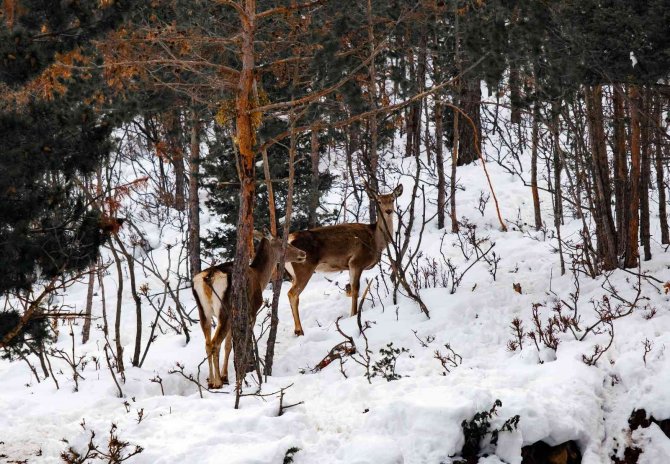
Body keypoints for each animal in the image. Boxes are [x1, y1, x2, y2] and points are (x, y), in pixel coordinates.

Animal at [193, 228, 308, 388]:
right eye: (284, 244)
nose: (303, 253)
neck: (260, 277)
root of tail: (207, 278)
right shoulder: (252, 310)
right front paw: (233, 374)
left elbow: (228, 345)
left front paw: (225, 376)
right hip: (224, 310)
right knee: (215, 343)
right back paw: (217, 383)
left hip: (203, 311)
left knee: (208, 343)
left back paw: (211, 381)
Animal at [284, 183, 404, 336]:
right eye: (379, 201)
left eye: (392, 199)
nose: (388, 211)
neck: (376, 241)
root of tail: (289, 240)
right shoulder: (357, 261)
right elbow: (356, 289)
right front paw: (353, 314)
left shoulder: (350, 266)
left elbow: (350, 288)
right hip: (304, 267)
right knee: (292, 294)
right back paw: (299, 330)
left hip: (293, 274)